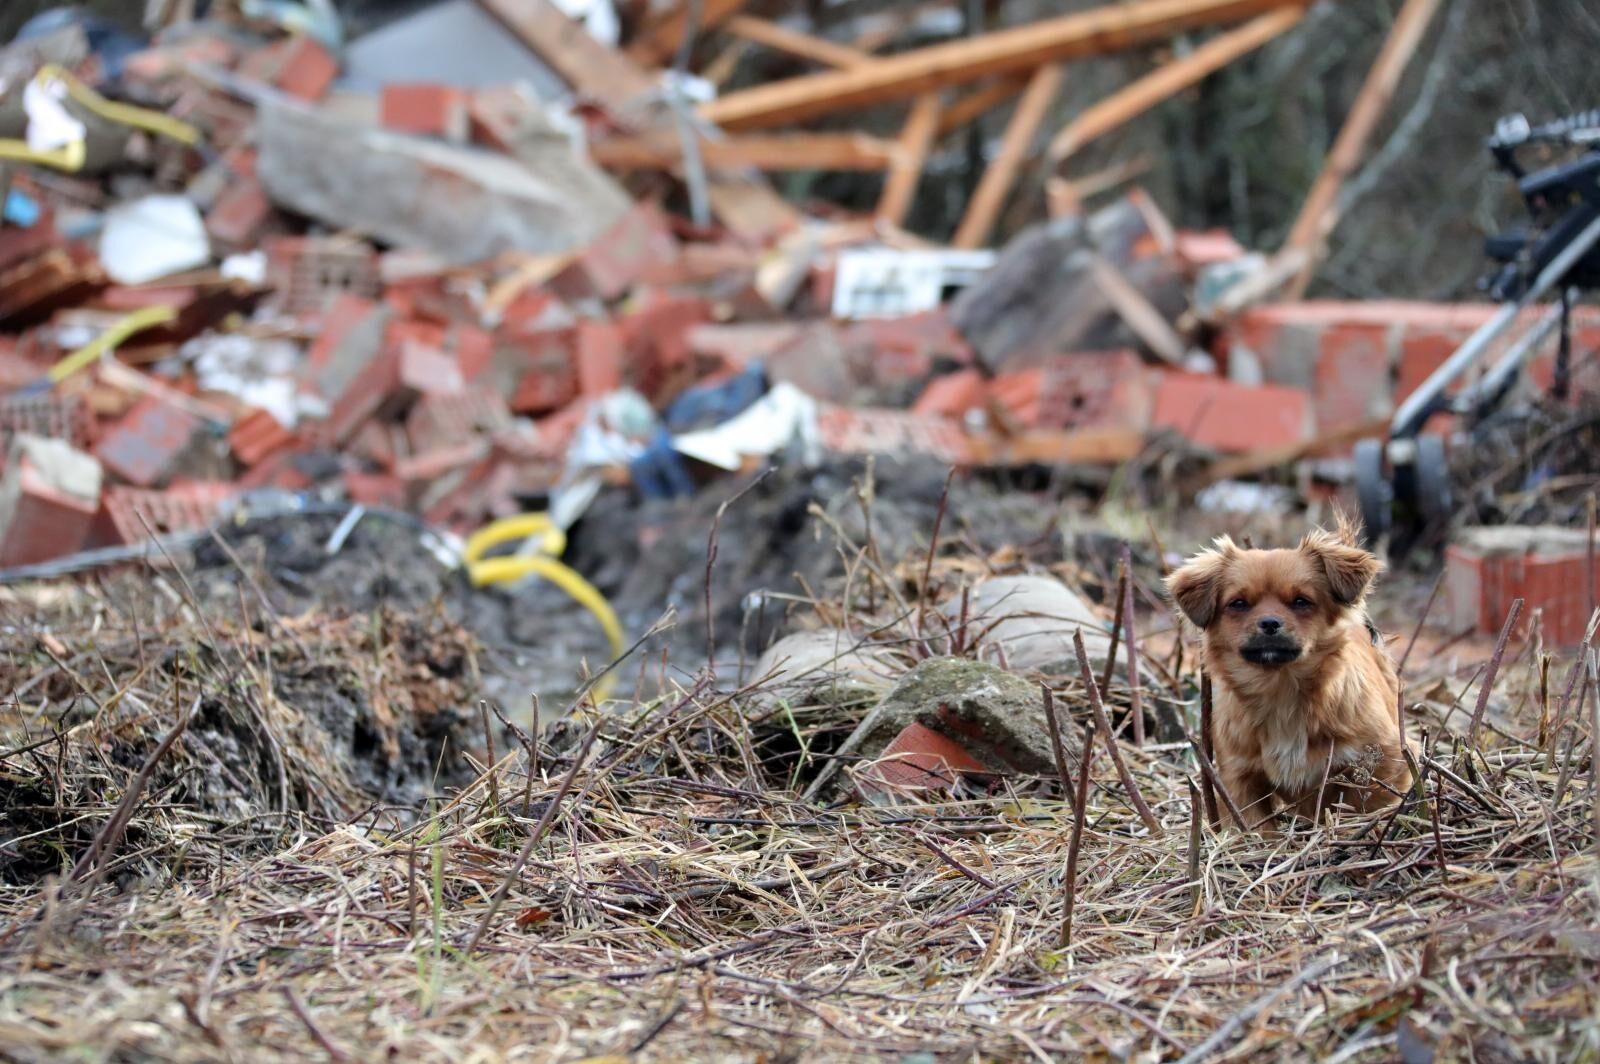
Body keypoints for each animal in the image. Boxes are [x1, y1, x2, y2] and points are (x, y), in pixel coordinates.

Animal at [1164, 515, 1414, 832]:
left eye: (1301, 601)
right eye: (1239, 604)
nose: (1270, 623)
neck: (1280, 690)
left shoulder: (1387, 759)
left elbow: (1362, 805)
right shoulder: (1239, 778)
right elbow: (1253, 826)